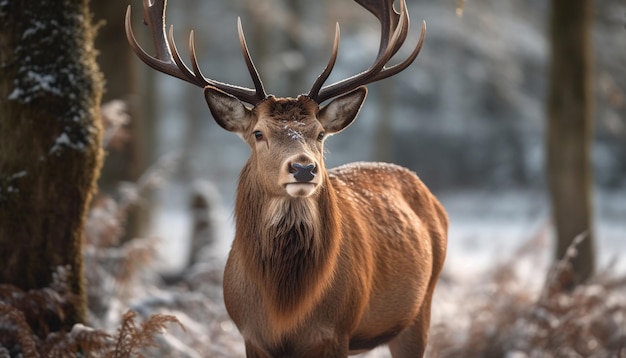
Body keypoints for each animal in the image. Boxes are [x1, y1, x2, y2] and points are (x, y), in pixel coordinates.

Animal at [125, 0, 444, 356]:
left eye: (320, 134)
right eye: (258, 133)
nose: (304, 168)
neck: (285, 308)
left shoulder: (336, 331)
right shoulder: (251, 334)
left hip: (420, 309)